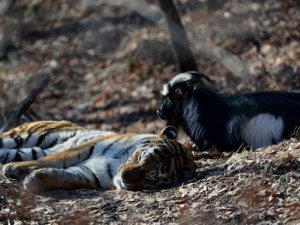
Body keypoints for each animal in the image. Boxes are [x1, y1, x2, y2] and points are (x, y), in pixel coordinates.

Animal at [0, 120, 196, 192]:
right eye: (141, 158)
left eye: (150, 177)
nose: (124, 177)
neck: (118, 164)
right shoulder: (83, 148)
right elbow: (52, 160)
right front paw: (14, 168)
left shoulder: (90, 173)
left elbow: (63, 177)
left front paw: (33, 181)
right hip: (22, 137)